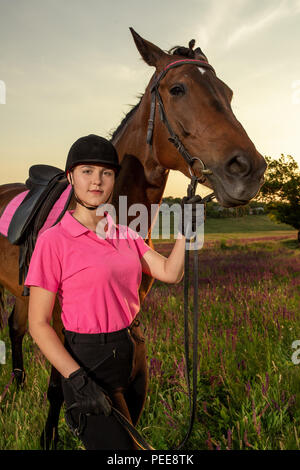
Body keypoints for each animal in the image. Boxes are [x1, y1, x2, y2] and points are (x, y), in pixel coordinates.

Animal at [0, 29, 268, 448]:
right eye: (177, 89)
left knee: (14, 327)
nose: (249, 170)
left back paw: (15, 388)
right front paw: (48, 437)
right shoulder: (60, 326)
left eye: (228, 92)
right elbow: (60, 389)